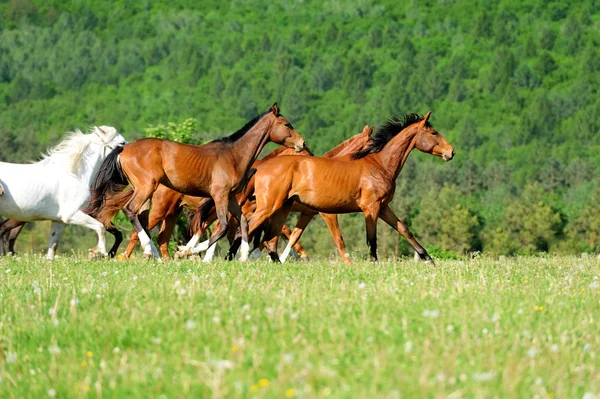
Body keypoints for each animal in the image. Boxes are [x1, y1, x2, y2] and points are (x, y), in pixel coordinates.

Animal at [0, 128, 126, 260]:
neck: (75, 175)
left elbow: (53, 245)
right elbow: (101, 227)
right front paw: (98, 252)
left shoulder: (59, 221)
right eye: (122, 143)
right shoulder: (71, 215)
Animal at [86, 103, 308, 260]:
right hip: (147, 188)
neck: (233, 156)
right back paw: (148, 251)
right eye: (287, 124)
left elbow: (243, 223)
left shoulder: (231, 198)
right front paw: (187, 251)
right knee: (131, 212)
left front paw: (244, 256)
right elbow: (222, 227)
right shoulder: (219, 196)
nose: (302, 143)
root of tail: (124, 149)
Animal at [231, 111, 454, 264]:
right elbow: (368, 240)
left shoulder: (383, 208)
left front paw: (429, 259)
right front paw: (371, 264)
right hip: (268, 207)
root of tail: (260, 168)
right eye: (434, 132)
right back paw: (239, 257)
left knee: (269, 237)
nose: (451, 152)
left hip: (281, 209)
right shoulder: (368, 209)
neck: (379, 164)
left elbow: (404, 230)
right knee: (247, 228)